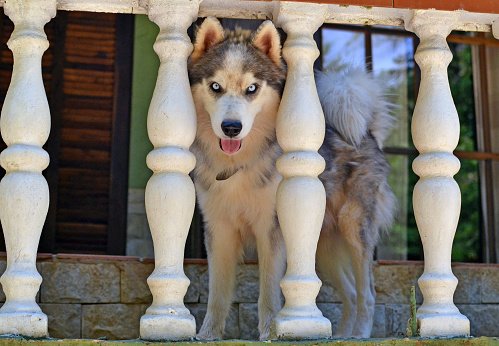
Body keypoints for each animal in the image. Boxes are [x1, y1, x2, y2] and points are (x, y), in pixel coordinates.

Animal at [188, 17, 398, 340]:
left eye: (252, 88)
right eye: (215, 87)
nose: (231, 127)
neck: (239, 165)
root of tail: (367, 133)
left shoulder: (271, 230)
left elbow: (267, 293)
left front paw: (268, 334)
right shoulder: (219, 230)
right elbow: (217, 294)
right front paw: (207, 335)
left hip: (354, 230)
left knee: (368, 293)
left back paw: (359, 335)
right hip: (319, 246)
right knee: (350, 294)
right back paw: (341, 335)